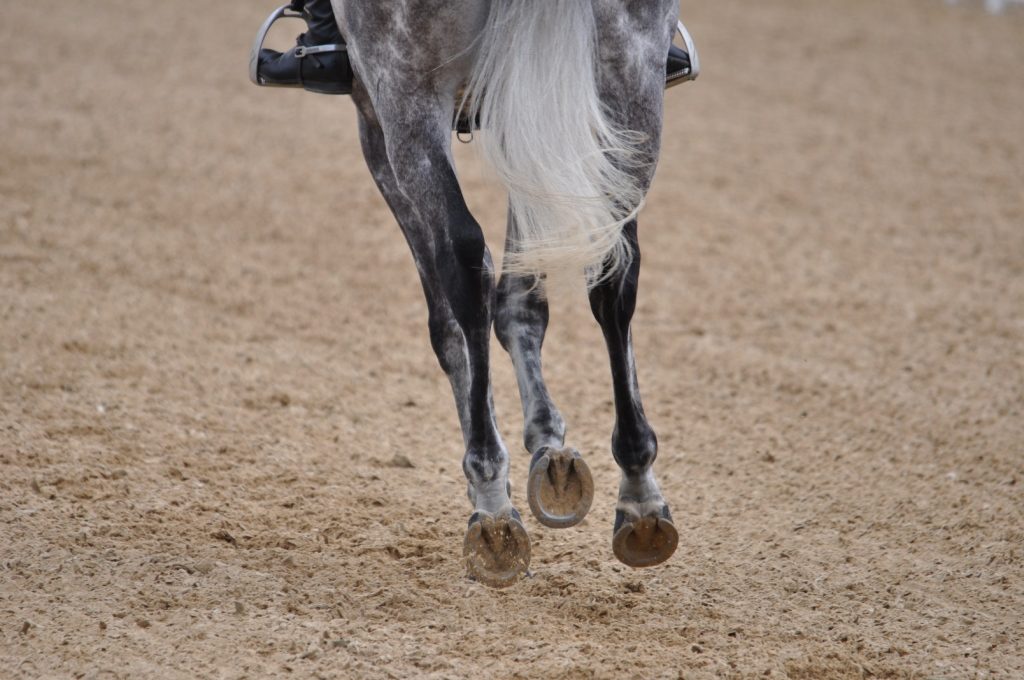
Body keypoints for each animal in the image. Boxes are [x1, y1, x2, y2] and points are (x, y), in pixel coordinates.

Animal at [323, 0, 688, 585]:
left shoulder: (373, 114)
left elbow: (449, 324)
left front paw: (498, 480)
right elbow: (521, 299)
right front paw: (550, 451)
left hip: (404, 89)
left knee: (465, 266)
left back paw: (492, 503)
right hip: (632, 63)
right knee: (615, 266)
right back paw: (640, 496)